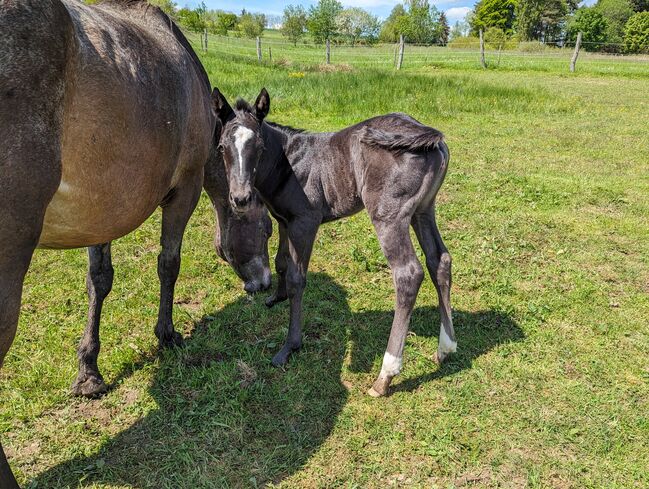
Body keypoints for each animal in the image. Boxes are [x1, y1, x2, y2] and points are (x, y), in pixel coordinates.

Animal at [214, 87, 456, 396]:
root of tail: (426, 133)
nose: (240, 198)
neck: (287, 163)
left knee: (408, 274)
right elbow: (281, 262)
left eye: (259, 146)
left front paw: (289, 346)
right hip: (424, 209)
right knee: (440, 260)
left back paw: (385, 375)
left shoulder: (305, 222)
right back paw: (446, 347)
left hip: (389, 215)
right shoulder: (285, 220)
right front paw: (276, 297)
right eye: (222, 147)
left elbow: (297, 278)